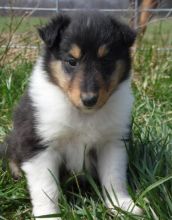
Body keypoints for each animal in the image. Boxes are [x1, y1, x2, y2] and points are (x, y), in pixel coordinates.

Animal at [4, 12, 142, 219]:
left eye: (106, 61)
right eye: (71, 61)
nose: (89, 99)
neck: (84, 114)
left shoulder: (113, 142)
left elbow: (114, 177)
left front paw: (123, 206)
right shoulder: (39, 145)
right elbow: (46, 188)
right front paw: (48, 215)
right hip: (15, 139)